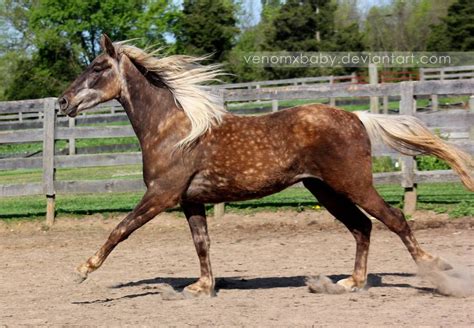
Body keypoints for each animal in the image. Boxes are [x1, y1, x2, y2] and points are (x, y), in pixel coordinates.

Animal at [57, 34, 472, 296]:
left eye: (98, 66)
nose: (63, 102)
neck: (175, 130)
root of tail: (358, 115)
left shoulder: (162, 195)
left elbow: (119, 230)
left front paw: (81, 271)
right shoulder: (191, 200)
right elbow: (201, 243)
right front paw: (203, 287)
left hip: (354, 184)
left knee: (394, 219)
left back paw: (436, 268)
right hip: (324, 189)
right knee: (362, 227)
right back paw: (351, 283)